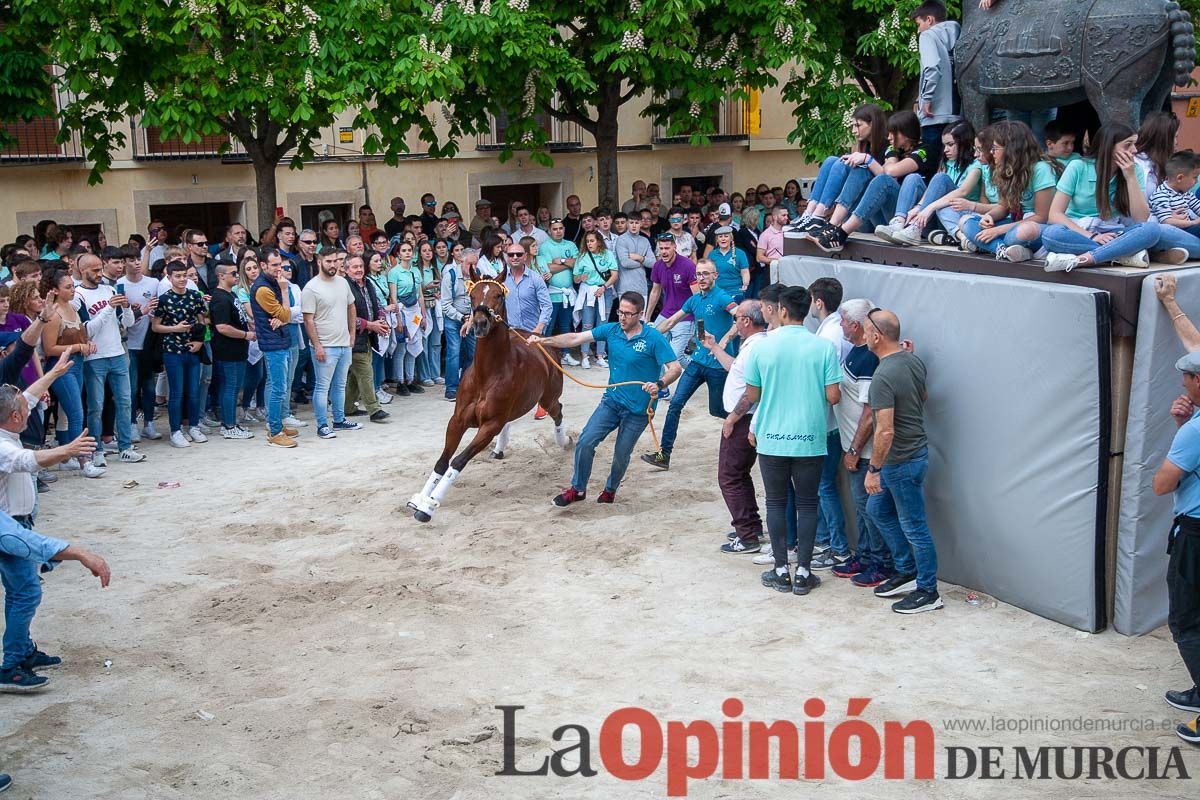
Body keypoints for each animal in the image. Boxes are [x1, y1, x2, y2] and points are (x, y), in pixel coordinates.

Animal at [408, 266, 571, 522]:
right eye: (472, 296)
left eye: (498, 295)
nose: (480, 323)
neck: (487, 374)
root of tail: (544, 343)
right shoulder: (458, 420)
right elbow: (442, 461)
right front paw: (420, 499)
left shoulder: (489, 425)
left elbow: (458, 460)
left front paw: (429, 506)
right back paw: (500, 449)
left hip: (548, 398)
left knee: (558, 411)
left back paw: (563, 441)